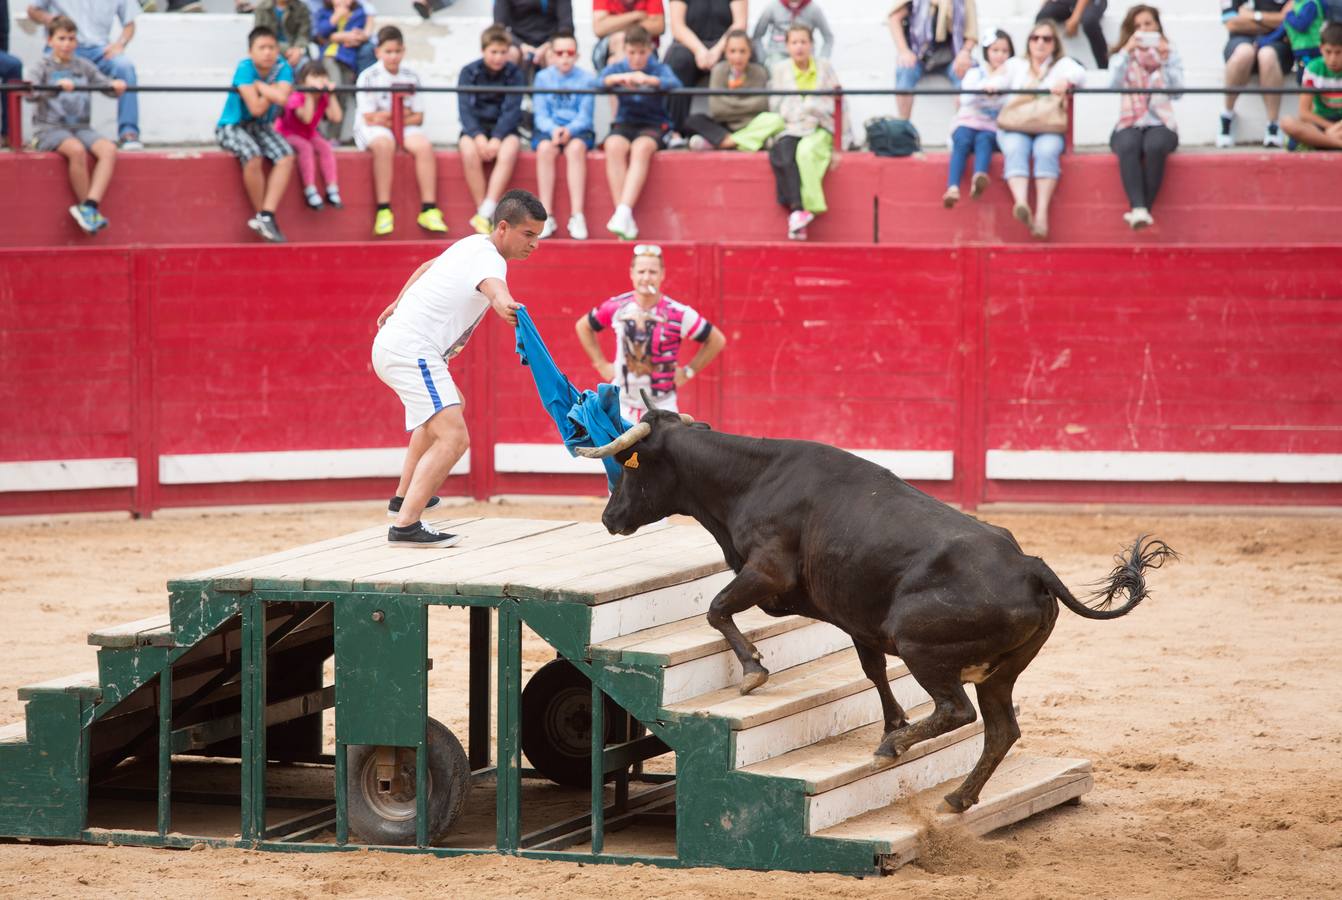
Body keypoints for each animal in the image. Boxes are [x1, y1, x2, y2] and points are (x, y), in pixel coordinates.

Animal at [579, 397, 1175, 815]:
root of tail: (1031, 565)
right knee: (1000, 728)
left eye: (630, 467)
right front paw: (892, 721)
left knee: (958, 712)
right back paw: (956, 797)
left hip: (923, 645)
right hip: (1001, 671)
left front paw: (752, 671)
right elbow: (872, 669)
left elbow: (718, 608)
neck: (751, 478)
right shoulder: (857, 621)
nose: (608, 518)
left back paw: (899, 752)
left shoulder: (767, 574)